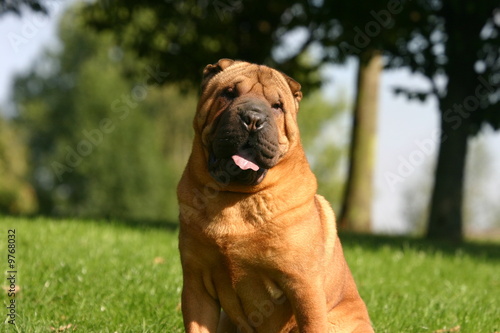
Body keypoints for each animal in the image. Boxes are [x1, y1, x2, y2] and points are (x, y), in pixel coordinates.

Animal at [178, 58, 374, 330]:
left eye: (277, 106)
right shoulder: (196, 284)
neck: (234, 197)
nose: (252, 118)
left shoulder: (303, 284)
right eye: (229, 93)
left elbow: (313, 324)